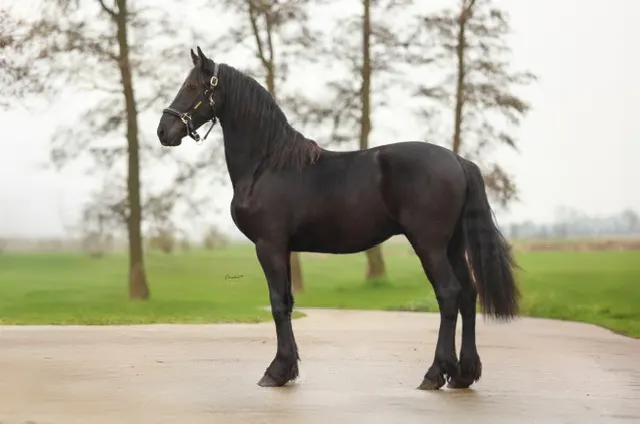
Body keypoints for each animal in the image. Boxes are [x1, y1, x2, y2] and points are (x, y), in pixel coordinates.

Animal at [156, 46, 520, 391]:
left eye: (192, 87)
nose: (164, 131)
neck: (267, 163)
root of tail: (459, 161)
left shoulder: (269, 245)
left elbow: (277, 304)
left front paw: (276, 372)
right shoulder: (285, 248)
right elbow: (288, 302)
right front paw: (288, 370)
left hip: (429, 245)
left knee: (449, 293)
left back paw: (434, 374)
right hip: (453, 245)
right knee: (469, 294)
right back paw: (463, 374)